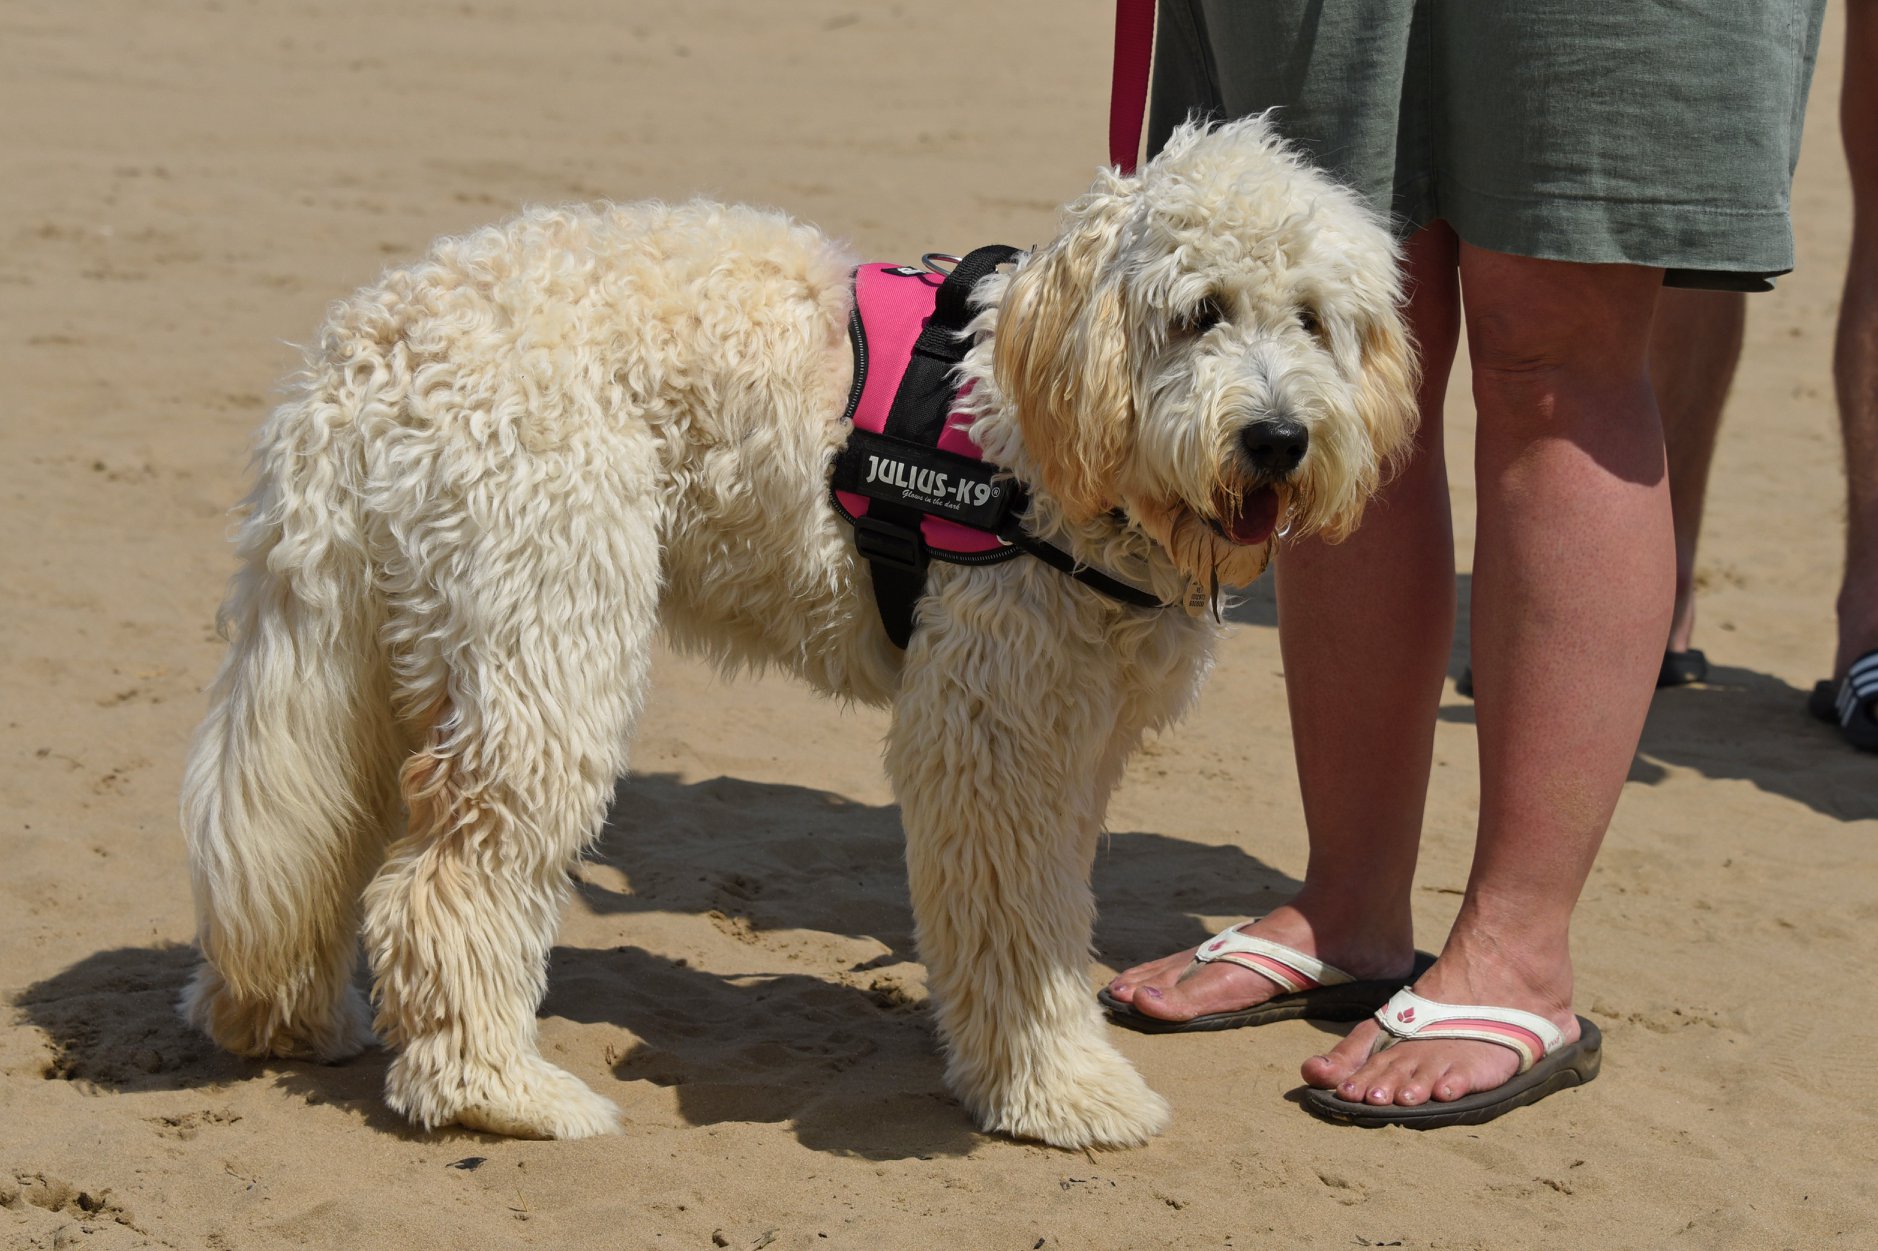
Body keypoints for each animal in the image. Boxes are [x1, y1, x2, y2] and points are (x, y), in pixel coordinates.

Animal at [183, 119, 1412, 1149]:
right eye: (1201, 311)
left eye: (1314, 320)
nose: (1278, 438)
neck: (1047, 437)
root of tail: (362, 352)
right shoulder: (992, 733)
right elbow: (1019, 928)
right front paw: (1058, 1090)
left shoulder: (1078, 731)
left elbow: (1055, 914)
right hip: (547, 631)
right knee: (440, 881)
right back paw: (497, 1091)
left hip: (377, 643)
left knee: (299, 833)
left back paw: (279, 1016)